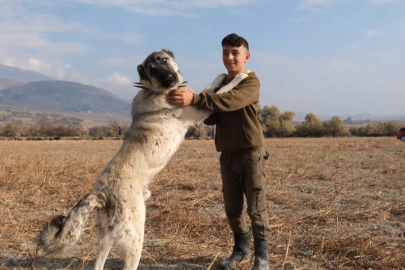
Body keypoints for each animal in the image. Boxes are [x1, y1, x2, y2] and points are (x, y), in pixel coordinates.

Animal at [38, 49, 246, 268]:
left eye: (164, 60)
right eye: (152, 71)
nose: (169, 79)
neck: (155, 91)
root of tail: (103, 194)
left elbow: (210, 88)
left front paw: (222, 75)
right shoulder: (198, 110)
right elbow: (219, 93)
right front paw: (240, 77)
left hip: (105, 239)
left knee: (98, 263)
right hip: (135, 240)